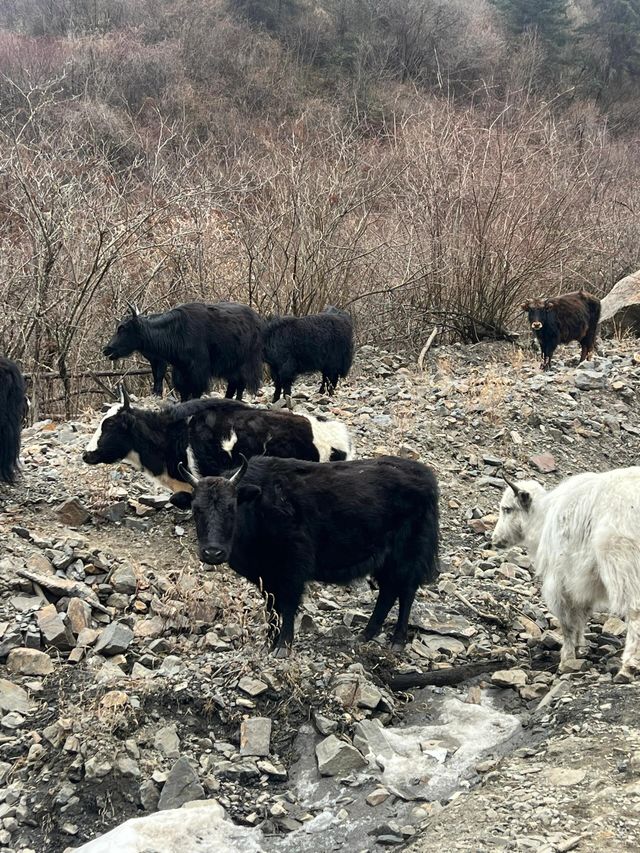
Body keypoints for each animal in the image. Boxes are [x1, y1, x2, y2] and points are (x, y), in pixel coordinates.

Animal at [496, 462, 640, 684]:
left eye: (507, 509)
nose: (494, 539)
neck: (543, 518)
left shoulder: (559, 580)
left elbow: (567, 621)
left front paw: (567, 658)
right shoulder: (582, 583)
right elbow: (581, 615)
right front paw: (580, 648)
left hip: (625, 564)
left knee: (635, 610)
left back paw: (628, 667)